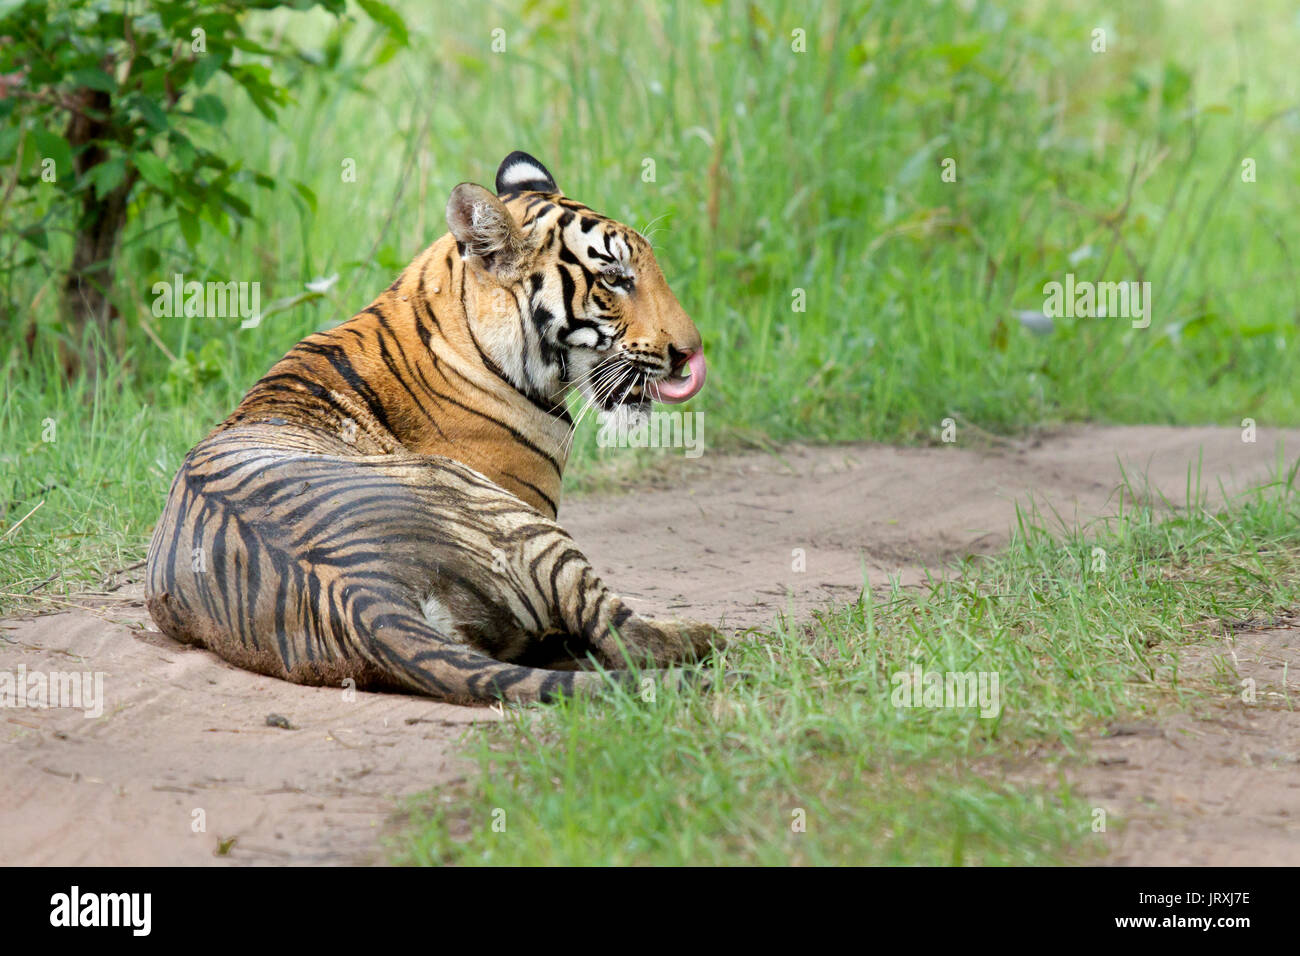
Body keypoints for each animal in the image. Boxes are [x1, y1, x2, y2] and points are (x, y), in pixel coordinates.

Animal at [149, 149, 733, 702]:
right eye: (614, 278)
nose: (690, 353)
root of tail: (361, 593)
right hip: (517, 522)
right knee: (626, 636)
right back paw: (709, 636)